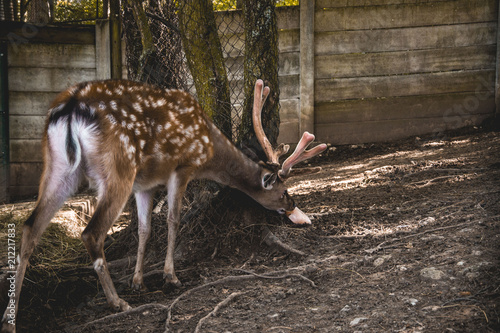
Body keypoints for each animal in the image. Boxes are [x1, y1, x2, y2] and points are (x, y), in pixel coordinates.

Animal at [0, 79, 328, 330]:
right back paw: (117, 302)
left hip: (58, 167)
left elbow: (145, 229)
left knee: (29, 228)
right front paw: (170, 276)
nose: (295, 208)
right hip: (117, 167)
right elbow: (172, 219)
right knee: (91, 233)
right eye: (283, 191)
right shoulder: (181, 167)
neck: (209, 150)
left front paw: (138, 280)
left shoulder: (144, 186)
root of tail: (68, 109)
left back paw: (10, 319)